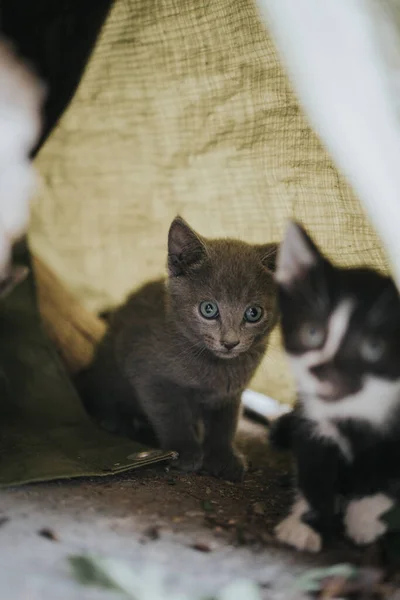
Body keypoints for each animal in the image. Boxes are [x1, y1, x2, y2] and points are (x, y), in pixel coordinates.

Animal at [77, 218, 278, 480]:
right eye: (208, 309)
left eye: (253, 313)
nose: (230, 342)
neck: (215, 367)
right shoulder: (149, 373)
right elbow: (171, 414)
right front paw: (185, 451)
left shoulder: (230, 393)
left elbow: (225, 423)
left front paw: (223, 457)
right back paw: (116, 421)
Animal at [274, 221, 400, 552]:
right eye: (312, 332)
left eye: (374, 347)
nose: (322, 370)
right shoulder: (311, 421)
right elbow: (313, 471)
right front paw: (306, 524)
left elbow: (386, 483)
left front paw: (364, 520)